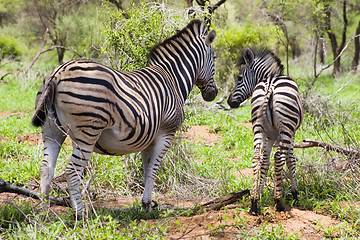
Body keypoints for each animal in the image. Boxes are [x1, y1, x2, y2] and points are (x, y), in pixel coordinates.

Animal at [31, 19, 217, 217]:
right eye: (214, 58)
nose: (213, 94)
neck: (172, 78)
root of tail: (58, 72)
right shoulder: (167, 133)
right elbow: (154, 170)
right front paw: (148, 205)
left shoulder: (149, 138)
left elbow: (147, 170)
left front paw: (147, 205)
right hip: (87, 131)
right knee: (72, 171)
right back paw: (80, 215)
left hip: (51, 129)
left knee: (46, 168)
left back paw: (44, 213)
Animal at [228, 47, 304, 215]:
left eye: (239, 78)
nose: (229, 102)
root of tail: (270, 84)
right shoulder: (292, 134)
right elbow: (290, 160)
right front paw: (295, 194)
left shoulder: (269, 136)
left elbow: (264, 162)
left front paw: (260, 193)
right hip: (286, 127)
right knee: (279, 157)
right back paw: (279, 202)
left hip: (258, 126)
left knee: (256, 158)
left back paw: (254, 204)